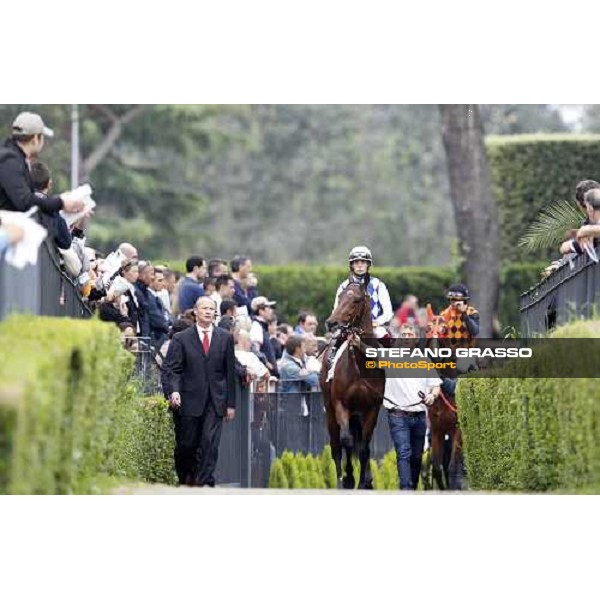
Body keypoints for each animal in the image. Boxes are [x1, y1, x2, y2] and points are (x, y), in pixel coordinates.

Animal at [318, 282, 384, 488]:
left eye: (356, 300)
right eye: (339, 297)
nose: (331, 323)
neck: (360, 367)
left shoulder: (372, 409)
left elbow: (364, 447)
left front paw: (363, 482)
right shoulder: (341, 404)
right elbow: (346, 441)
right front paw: (348, 478)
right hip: (330, 410)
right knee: (336, 445)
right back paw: (342, 479)